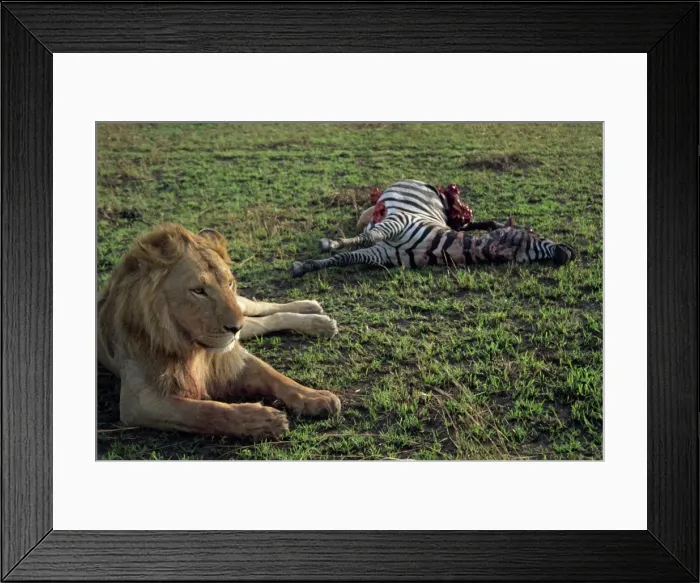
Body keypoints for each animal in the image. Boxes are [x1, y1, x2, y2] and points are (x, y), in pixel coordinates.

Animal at [97, 222, 341, 439]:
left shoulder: (234, 357)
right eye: (198, 291)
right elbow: (204, 411)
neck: (186, 344)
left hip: (241, 306)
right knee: (266, 320)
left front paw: (315, 396)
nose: (236, 327)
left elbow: (277, 377)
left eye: (230, 283)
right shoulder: (139, 401)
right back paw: (318, 319)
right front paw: (260, 420)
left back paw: (315, 314)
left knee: (264, 307)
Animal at [290, 179, 575, 278]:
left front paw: (305, 266)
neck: (437, 247)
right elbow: (366, 237)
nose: (571, 252)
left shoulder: (380, 254)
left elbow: (345, 257)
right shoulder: (400, 222)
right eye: (534, 233)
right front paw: (328, 245)